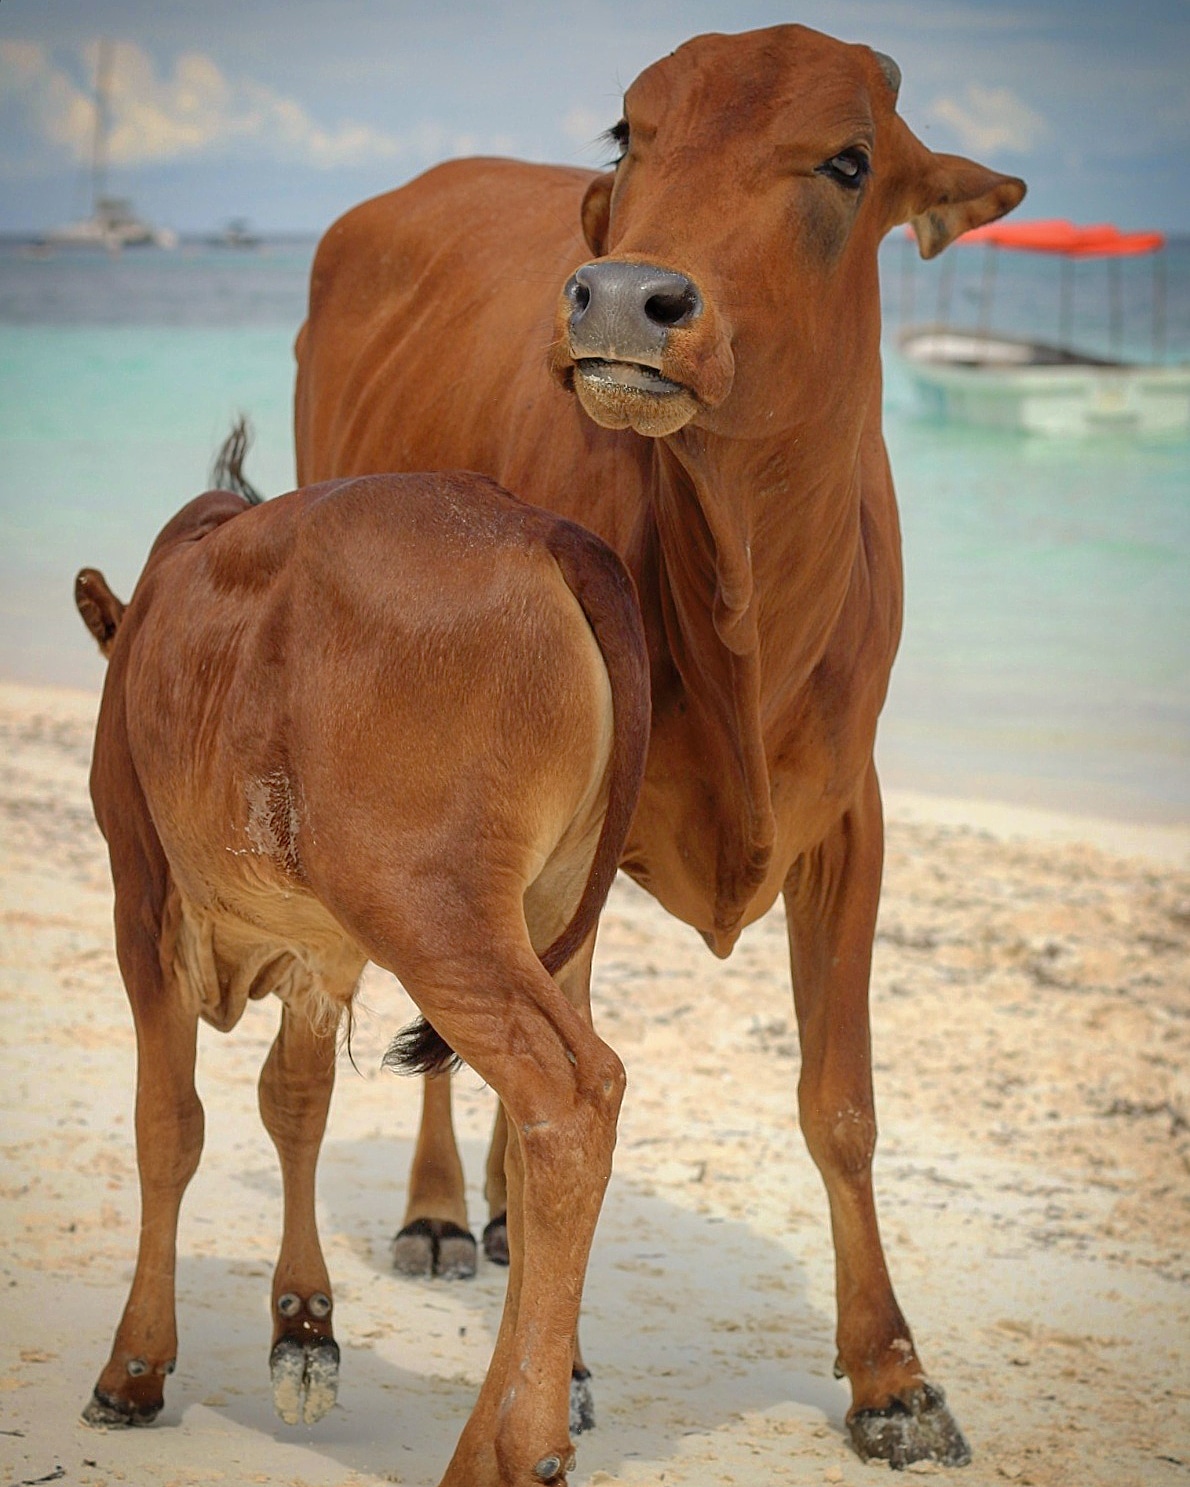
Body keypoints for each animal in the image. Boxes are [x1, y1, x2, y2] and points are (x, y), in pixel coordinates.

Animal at [74, 467, 650, 1487]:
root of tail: (545, 530)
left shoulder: (141, 901)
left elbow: (167, 1126)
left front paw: (134, 1367)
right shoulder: (318, 953)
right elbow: (295, 1106)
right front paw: (303, 1325)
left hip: (432, 911)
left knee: (570, 1097)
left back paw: (519, 1446)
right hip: (552, 918)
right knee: (546, 1139)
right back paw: (484, 1439)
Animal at [293, 23, 1025, 1469]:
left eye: (848, 160)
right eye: (630, 133)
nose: (624, 296)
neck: (744, 590)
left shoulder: (848, 817)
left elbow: (837, 1101)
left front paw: (892, 1374)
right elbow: (559, 1084)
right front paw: (557, 1364)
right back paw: (443, 1210)